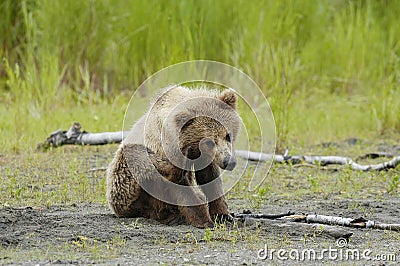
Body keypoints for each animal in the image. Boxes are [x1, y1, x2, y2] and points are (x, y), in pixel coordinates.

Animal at [106, 85, 241, 229]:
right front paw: (205, 221)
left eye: (228, 135)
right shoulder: (167, 149)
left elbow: (210, 179)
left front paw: (224, 215)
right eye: (209, 141)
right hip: (124, 186)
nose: (229, 162)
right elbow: (182, 189)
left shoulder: (204, 157)